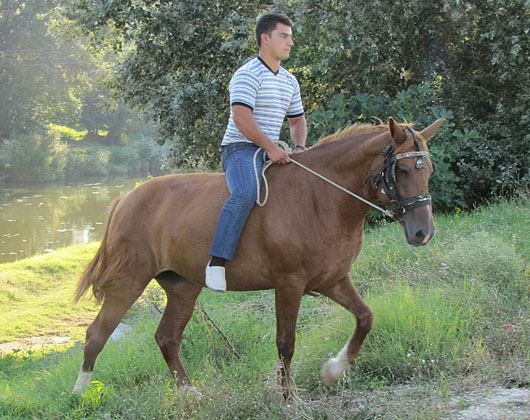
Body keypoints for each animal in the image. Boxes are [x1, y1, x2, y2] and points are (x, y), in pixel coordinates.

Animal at [70, 117, 442, 398]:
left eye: (429, 170)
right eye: (402, 171)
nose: (423, 232)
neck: (321, 198)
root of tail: (125, 200)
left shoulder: (333, 280)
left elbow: (365, 318)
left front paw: (333, 371)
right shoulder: (289, 284)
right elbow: (286, 343)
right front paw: (289, 398)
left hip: (183, 287)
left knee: (167, 338)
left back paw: (190, 393)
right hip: (129, 282)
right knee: (97, 335)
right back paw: (80, 394)